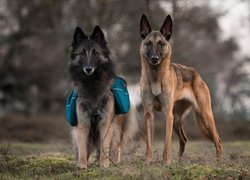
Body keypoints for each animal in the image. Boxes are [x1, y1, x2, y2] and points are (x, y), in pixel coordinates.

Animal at [140, 14, 224, 164]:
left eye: (161, 43)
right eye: (148, 43)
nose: (155, 59)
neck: (155, 77)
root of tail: (196, 73)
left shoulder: (168, 114)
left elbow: (167, 142)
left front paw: (166, 162)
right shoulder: (149, 114)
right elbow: (149, 142)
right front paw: (148, 162)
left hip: (205, 116)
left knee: (218, 141)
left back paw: (219, 162)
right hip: (177, 120)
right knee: (184, 139)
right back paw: (179, 162)